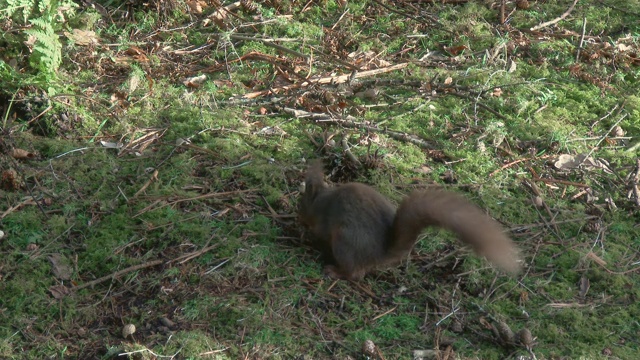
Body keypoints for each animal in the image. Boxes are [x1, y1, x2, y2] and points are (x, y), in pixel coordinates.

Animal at [298, 161, 520, 282]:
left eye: (301, 202)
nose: (298, 215)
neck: (321, 201)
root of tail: (379, 256)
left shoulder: (325, 223)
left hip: (344, 242)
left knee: (354, 274)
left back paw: (334, 271)